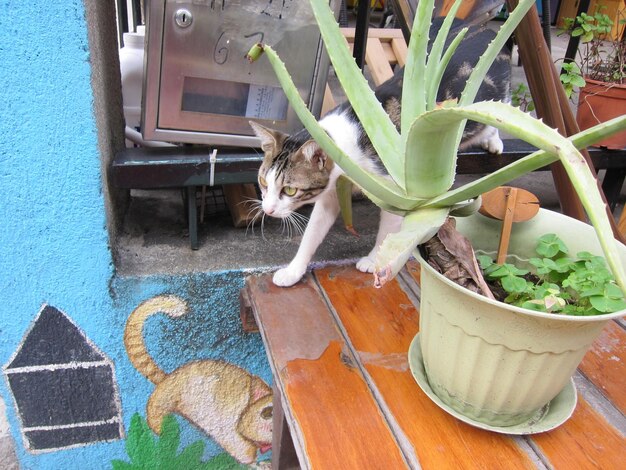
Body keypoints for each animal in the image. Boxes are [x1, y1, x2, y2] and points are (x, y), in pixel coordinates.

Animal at [123, 296, 272, 464]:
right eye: (267, 412)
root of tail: (169, 377)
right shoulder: (233, 436)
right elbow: (246, 456)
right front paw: (261, 463)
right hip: (162, 403)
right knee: (156, 417)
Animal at [249, 23, 508, 288]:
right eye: (263, 182)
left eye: (290, 190)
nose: (267, 210)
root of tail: (486, 28)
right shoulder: (332, 191)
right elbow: (312, 233)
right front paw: (293, 271)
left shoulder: (396, 190)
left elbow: (388, 233)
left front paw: (374, 261)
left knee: (494, 117)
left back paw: (494, 140)